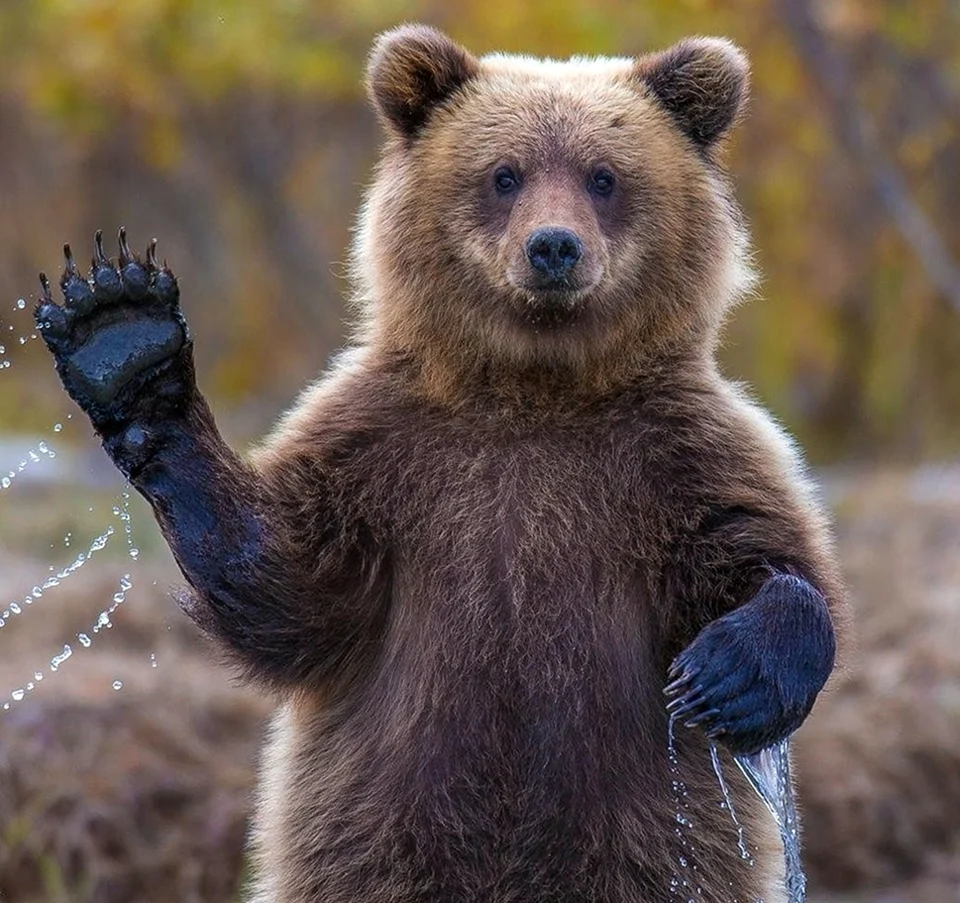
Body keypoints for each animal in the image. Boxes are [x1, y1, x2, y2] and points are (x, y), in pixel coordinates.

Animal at [33, 24, 847, 903]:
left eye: (604, 176)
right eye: (504, 173)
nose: (552, 248)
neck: (534, 388)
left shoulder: (678, 454)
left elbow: (769, 554)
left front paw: (728, 674)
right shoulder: (385, 451)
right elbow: (285, 583)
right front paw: (122, 334)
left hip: (653, 841)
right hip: (375, 836)